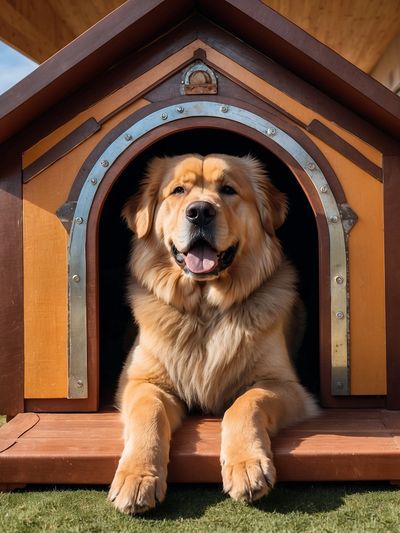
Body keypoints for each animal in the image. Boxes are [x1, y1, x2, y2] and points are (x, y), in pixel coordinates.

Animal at [108, 153, 318, 512]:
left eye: (228, 189)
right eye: (178, 190)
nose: (200, 212)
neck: (205, 312)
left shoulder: (287, 387)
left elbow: (246, 402)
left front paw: (246, 465)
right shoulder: (142, 382)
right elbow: (149, 413)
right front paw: (137, 476)